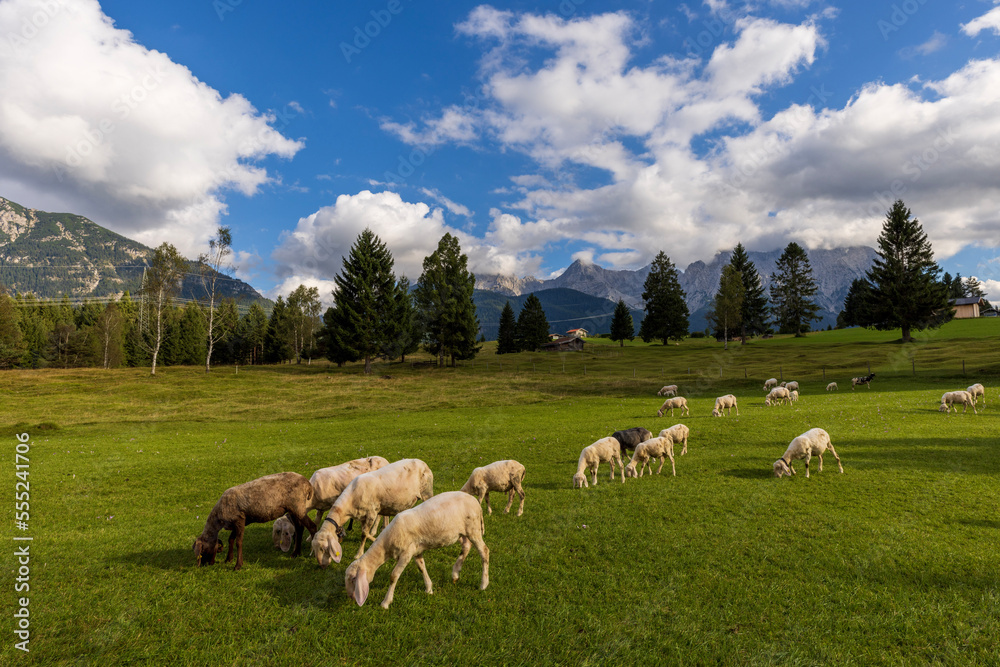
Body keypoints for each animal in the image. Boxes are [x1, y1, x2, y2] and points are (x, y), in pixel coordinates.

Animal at [344, 491, 489, 609]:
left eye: (353, 579)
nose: (350, 597)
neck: (387, 545)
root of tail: (476, 502)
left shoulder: (406, 553)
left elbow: (393, 576)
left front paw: (385, 603)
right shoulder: (416, 550)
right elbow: (421, 568)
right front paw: (429, 589)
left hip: (473, 529)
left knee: (484, 551)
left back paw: (483, 584)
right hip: (461, 532)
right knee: (466, 546)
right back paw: (455, 573)